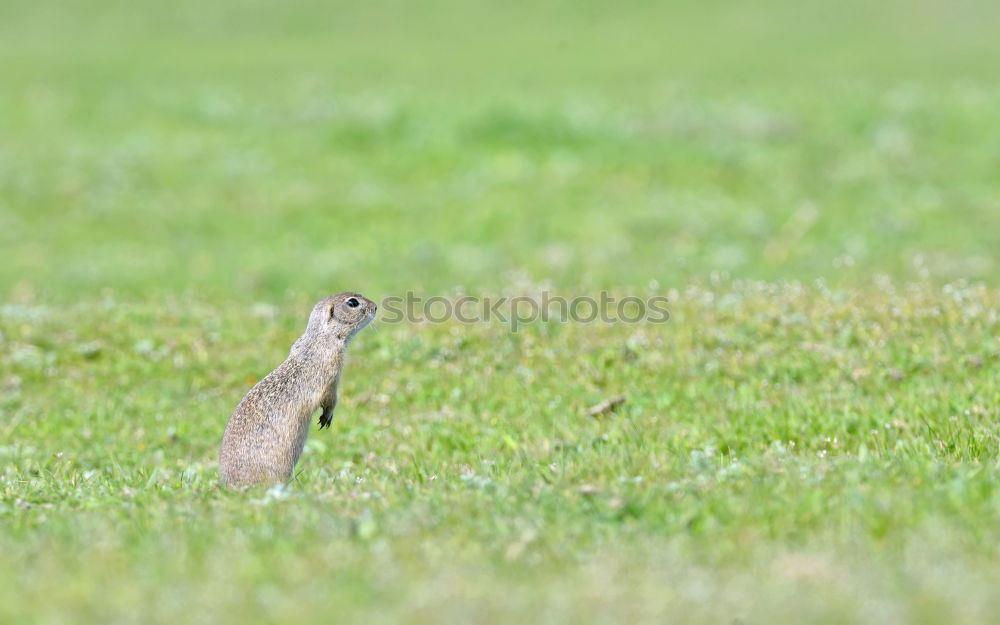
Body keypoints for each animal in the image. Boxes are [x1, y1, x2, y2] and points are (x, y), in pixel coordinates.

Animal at [218, 292, 376, 488]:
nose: (375, 307)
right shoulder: (331, 373)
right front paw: (327, 417)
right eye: (352, 302)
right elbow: (330, 398)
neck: (320, 337)